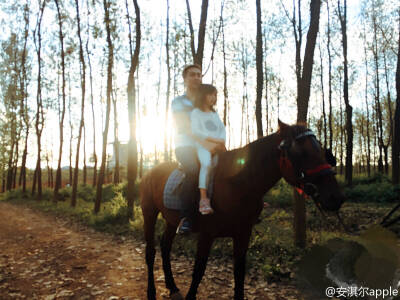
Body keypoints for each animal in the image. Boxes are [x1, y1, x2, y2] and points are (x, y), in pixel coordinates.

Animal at [140, 120, 344, 300]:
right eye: (301, 152)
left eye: (322, 151)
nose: (336, 197)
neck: (237, 184)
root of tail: (150, 171)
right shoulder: (207, 234)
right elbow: (198, 271)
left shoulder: (243, 233)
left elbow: (239, 273)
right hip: (149, 213)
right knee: (150, 252)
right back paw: (151, 291)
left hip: (170, 220)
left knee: (165, 246)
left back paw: (172, 286)